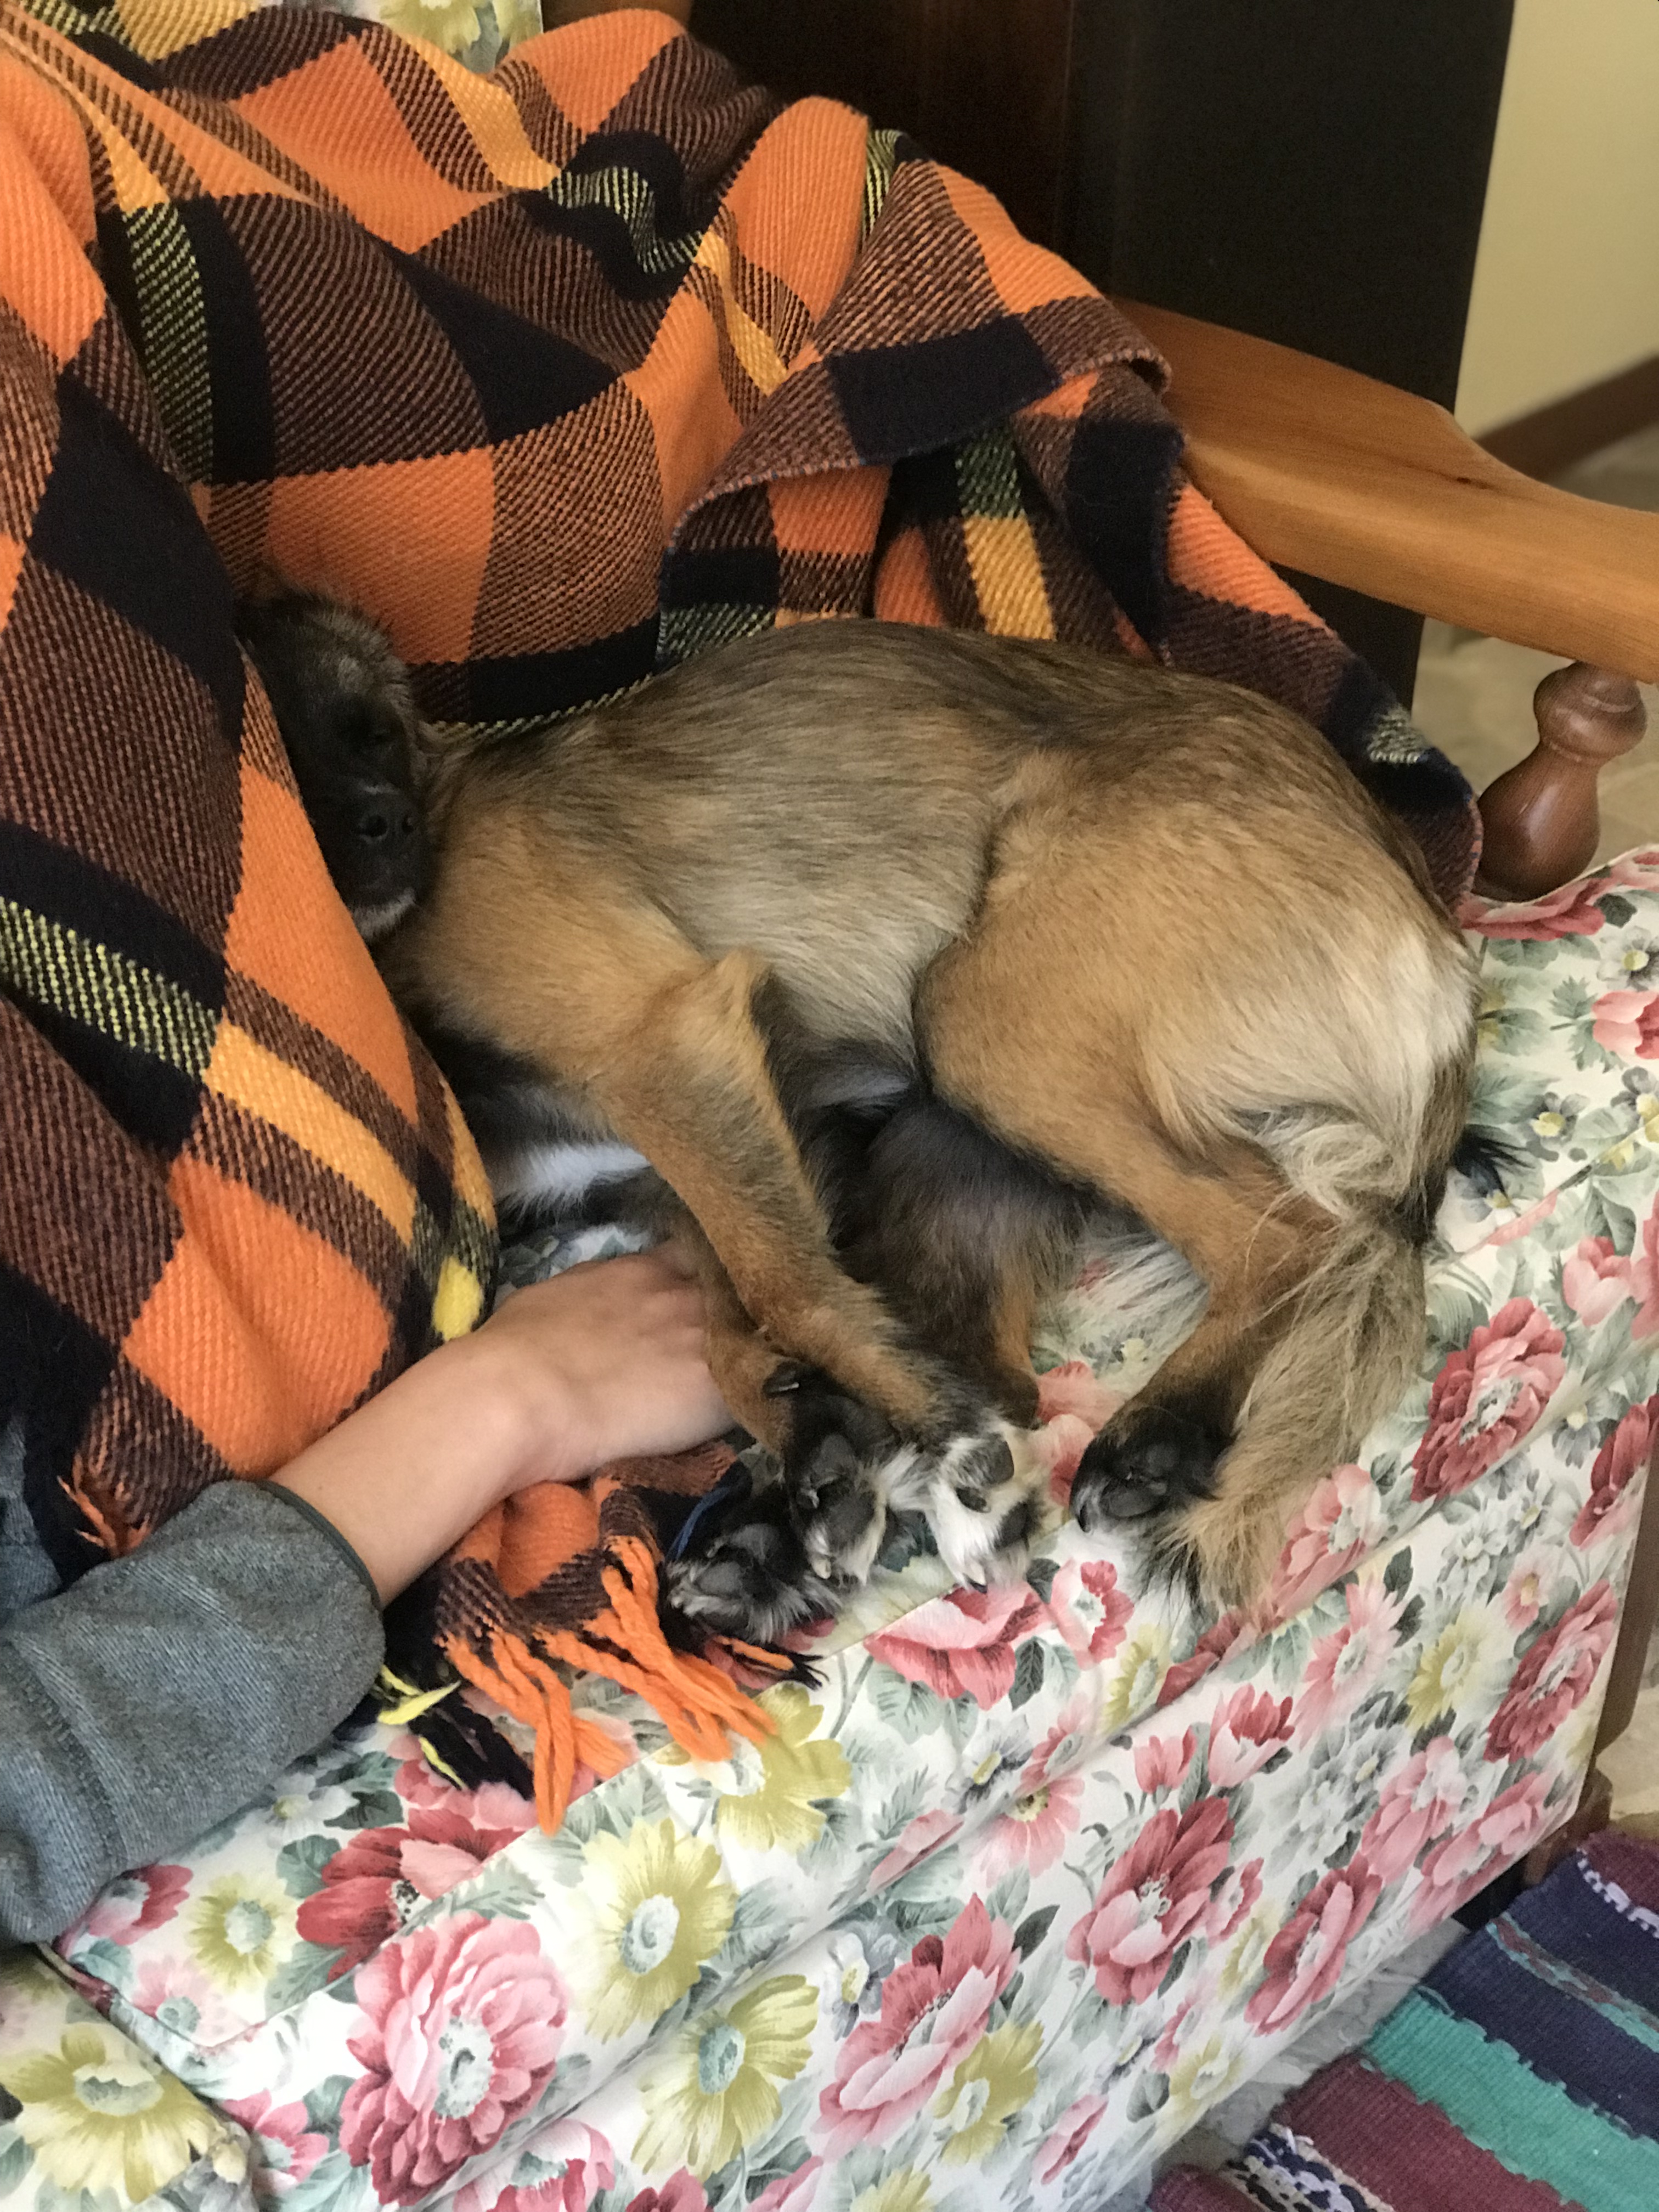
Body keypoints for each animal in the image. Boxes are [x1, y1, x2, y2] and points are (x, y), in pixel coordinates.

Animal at [239, 592, 1479, 1636]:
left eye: (367, 733)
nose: (385, 825)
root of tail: (1434, 929)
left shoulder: (670, 1044)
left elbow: (784, 1290)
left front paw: (939, 1440)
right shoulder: (694, 1155)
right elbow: (740, 1331)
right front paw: (835, 1451)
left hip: (981, 1019)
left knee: (1297, 1239)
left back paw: (1148, 1432)